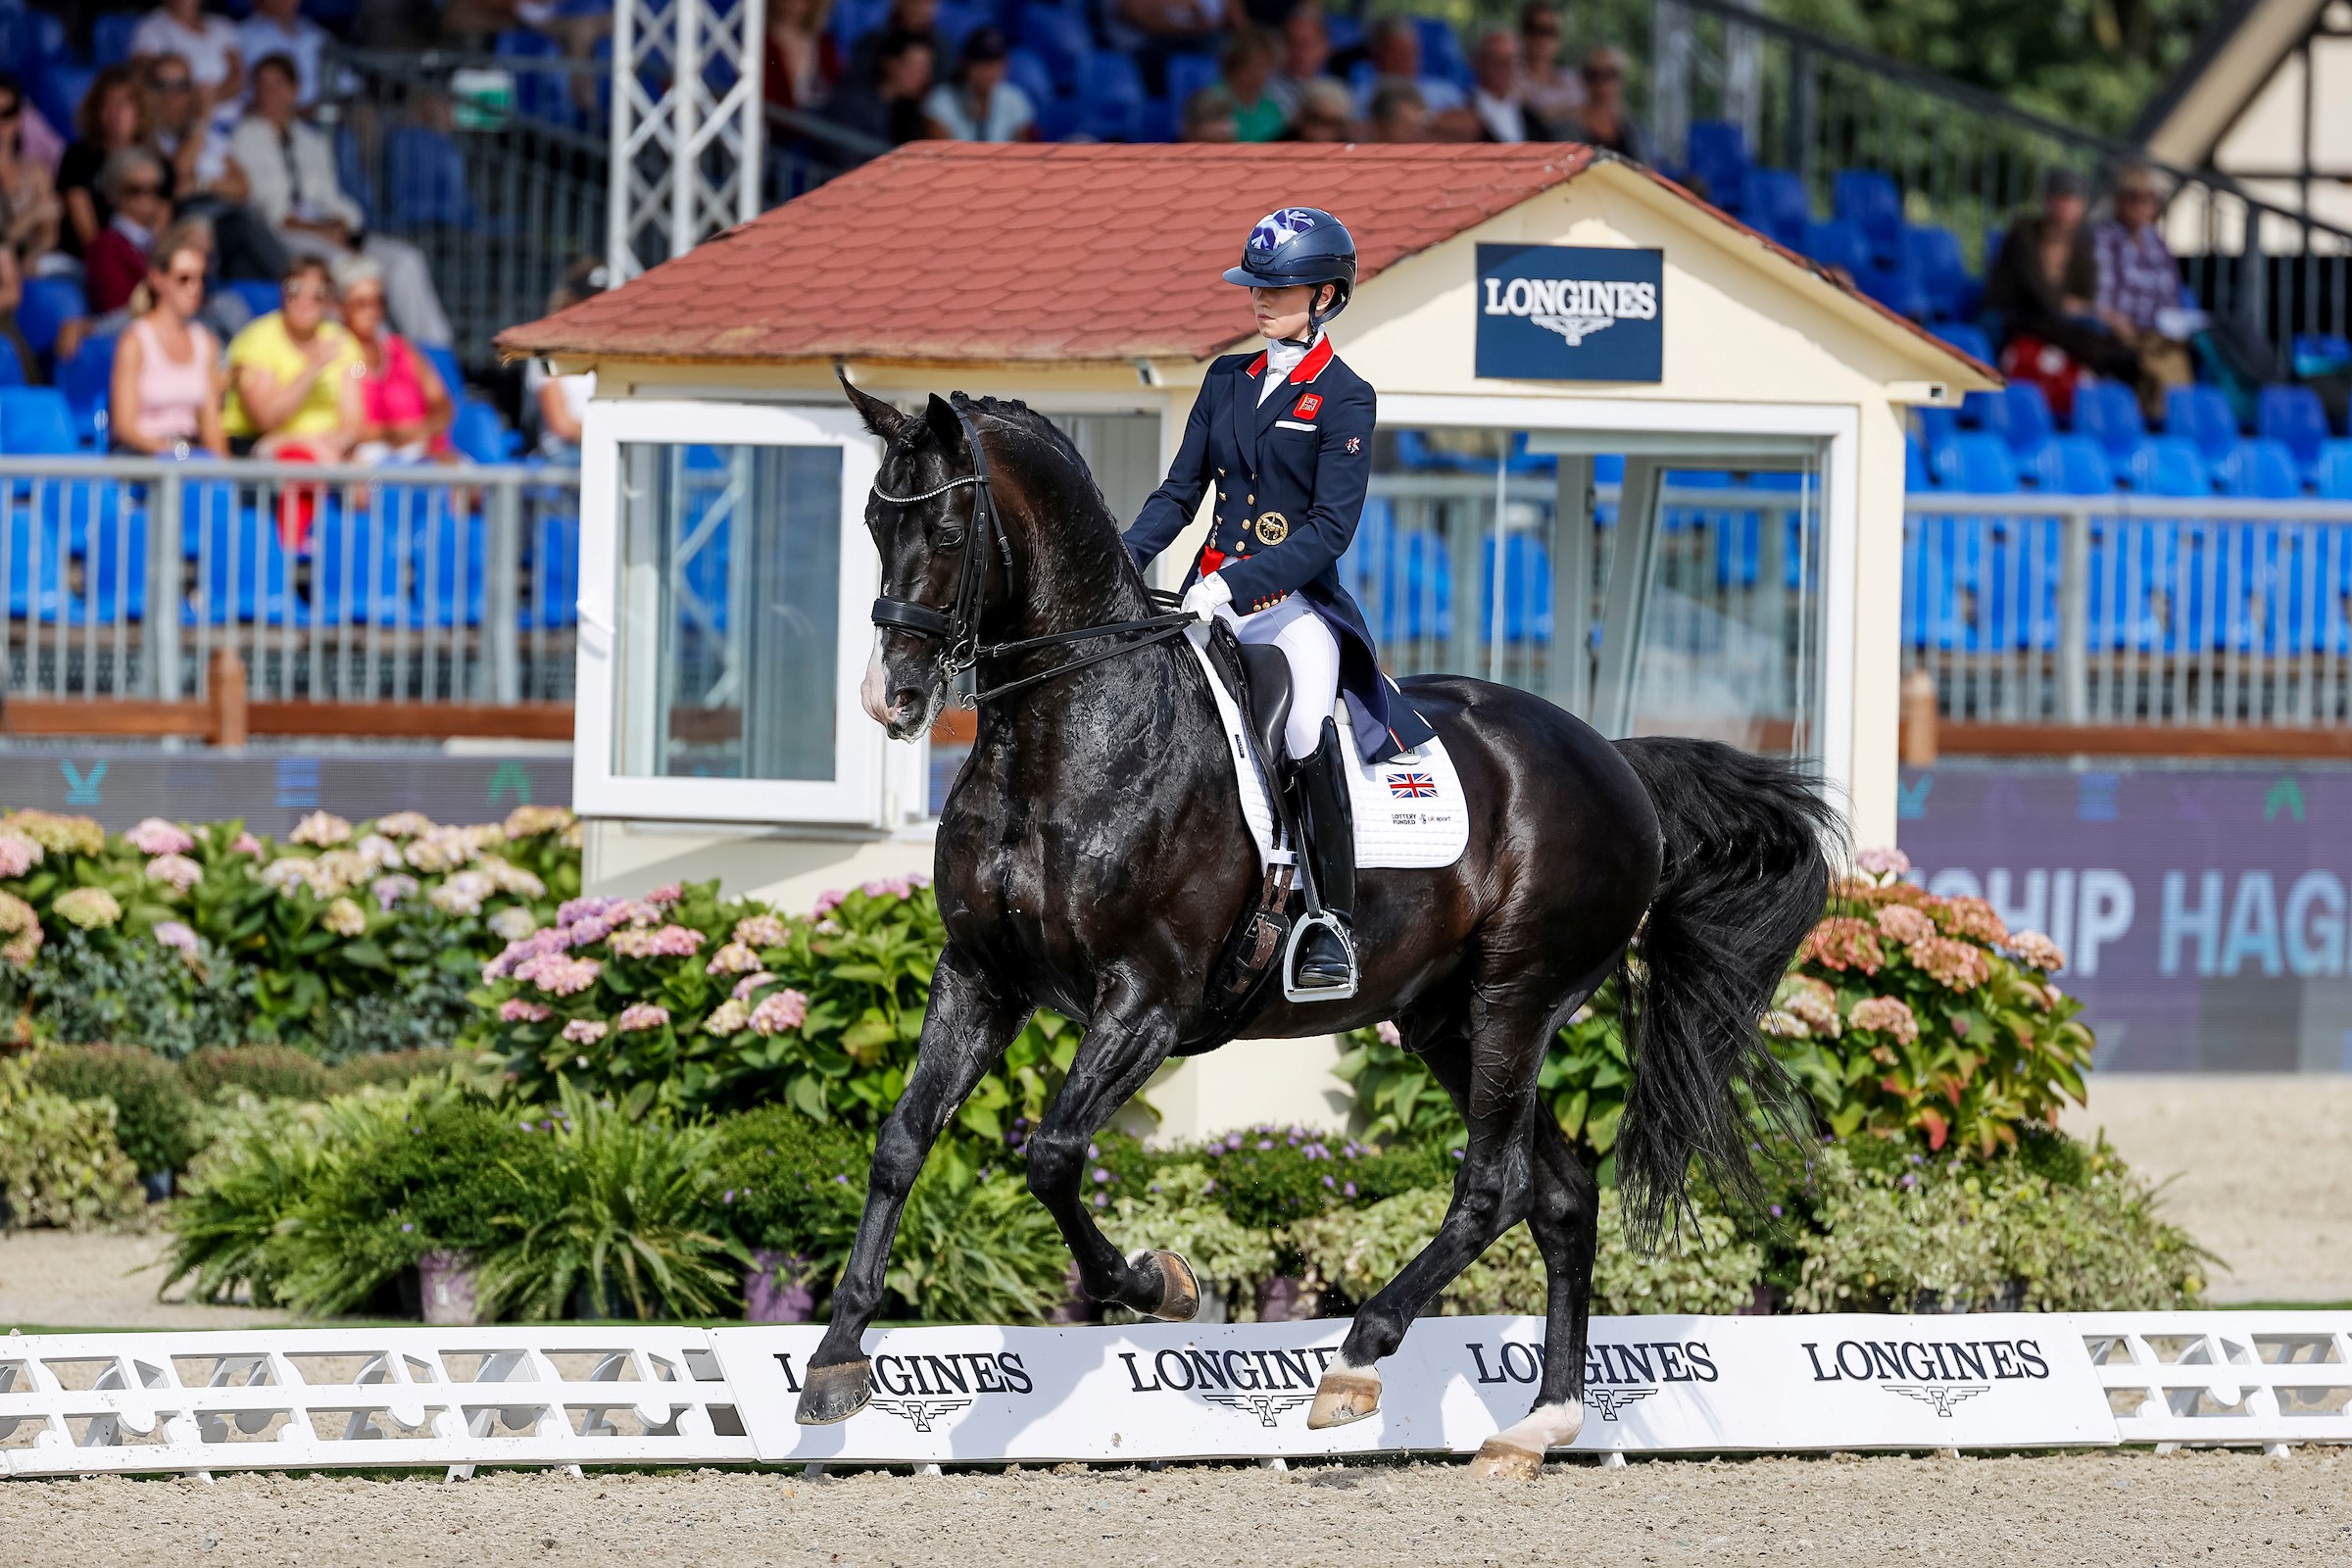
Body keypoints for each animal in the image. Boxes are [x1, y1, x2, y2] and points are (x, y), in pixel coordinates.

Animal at [808, 383, 1835, 1486]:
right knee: (1560, 1193)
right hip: (1444, 1018)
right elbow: (902, 1141)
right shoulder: (979, 976)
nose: (892, 698)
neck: (1069, 732)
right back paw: (1537, 1425)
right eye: (872, 524)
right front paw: (834, 1359)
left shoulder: (1146, 1000)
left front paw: (1159, 1282)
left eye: (951, 531)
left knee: (1496, 1183)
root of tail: (1613, 758)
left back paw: (1357, 1357)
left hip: (1516, 996)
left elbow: (1052, 1153)